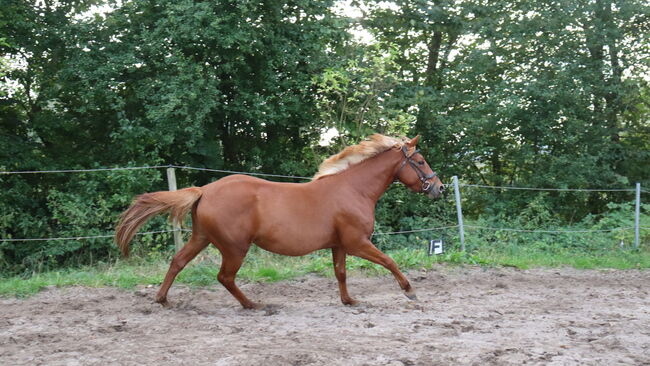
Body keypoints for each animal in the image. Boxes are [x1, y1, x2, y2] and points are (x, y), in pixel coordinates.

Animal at [115, 135, 440, 308]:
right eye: (420, 161)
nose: (438, 188)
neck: (353, 189)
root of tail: (205, 190)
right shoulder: (357, 242)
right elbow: (389, 261)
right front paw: (410, 291)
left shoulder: (339, 245)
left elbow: (340, 274)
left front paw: (349, 301)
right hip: (234, 248)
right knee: (225, 277)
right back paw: (252, 304)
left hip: (202, 238)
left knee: (178, 262)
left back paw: (162, 299)